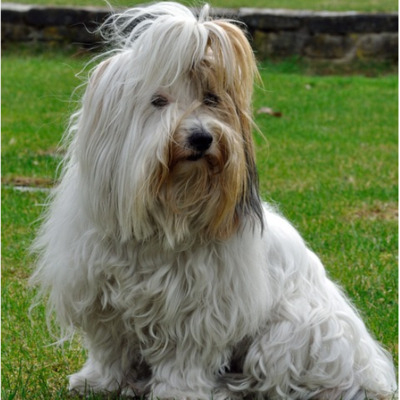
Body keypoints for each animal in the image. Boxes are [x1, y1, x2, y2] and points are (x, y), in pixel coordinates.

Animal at [29, 3, 396, 400]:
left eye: (211, 99)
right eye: (158, 101)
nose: (202, 138)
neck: (165, 216)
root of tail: (371, 374)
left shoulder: (201, 311)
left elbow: (184, 359)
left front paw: (176, 392)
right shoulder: (101, 297)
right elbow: (110, 348)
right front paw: (98, 382)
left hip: (293, 332)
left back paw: (228, 387)